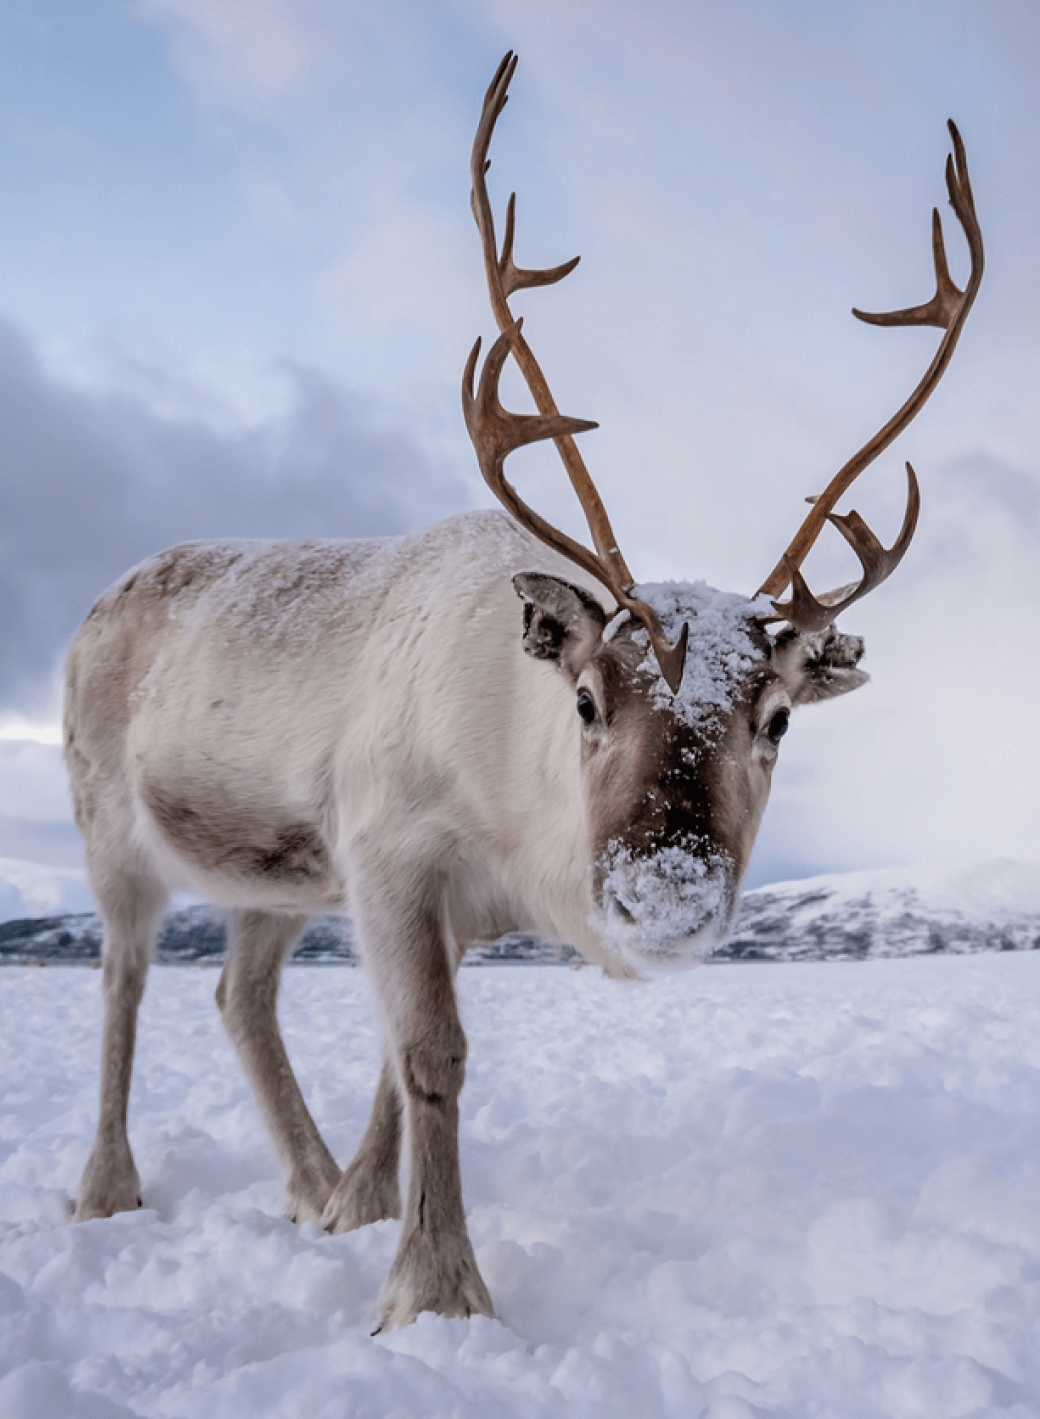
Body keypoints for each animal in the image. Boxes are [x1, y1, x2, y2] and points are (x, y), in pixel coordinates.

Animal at [64, 53, 983, 1329]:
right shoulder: (389, 851)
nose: (663, 895)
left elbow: (396, 1064)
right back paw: (106, 1189)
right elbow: (430, 1056)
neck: (513, 820)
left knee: (238, 999)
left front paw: (360, 1212)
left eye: (777, 718)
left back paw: (306, 1186)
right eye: (587, 700)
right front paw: (434, 1291)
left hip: (273, 878)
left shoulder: (431, 901)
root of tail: (102, 598)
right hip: (111, 826)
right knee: (124, 984)